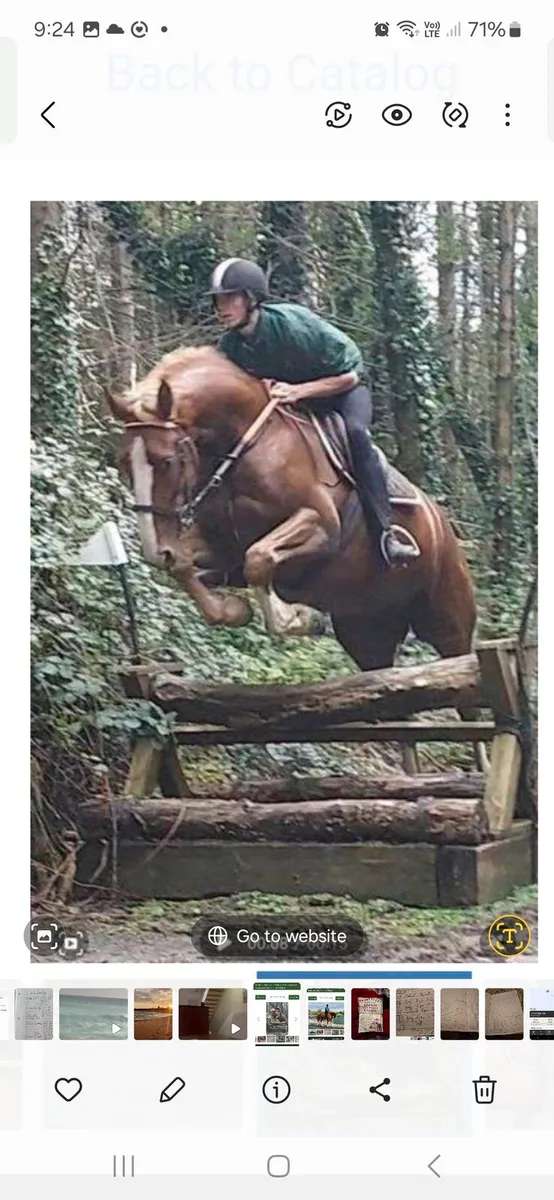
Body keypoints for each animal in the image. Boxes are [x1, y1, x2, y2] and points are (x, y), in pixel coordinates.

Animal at [106, 346, 480, 730]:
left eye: (166, 461)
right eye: (123, 462)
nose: (154, 550)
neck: (242, 443)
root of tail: (445, 526)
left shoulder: (321, 526)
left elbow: (260, 559)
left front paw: (299, 619)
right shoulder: (221, 547)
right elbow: (186, 565)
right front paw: (233, 610)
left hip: (448, 623)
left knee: (465, 685)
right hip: (366, 632)